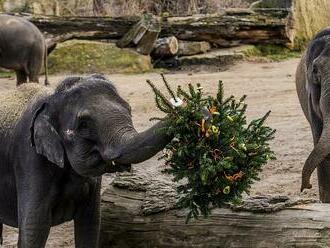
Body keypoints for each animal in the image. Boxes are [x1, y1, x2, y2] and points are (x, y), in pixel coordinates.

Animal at [0, 74, 171, 247]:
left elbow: (90, 224)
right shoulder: (30, 158)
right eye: (83, 125)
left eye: (129, 110)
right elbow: (34, 228)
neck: (52, 97)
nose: (178, 109)